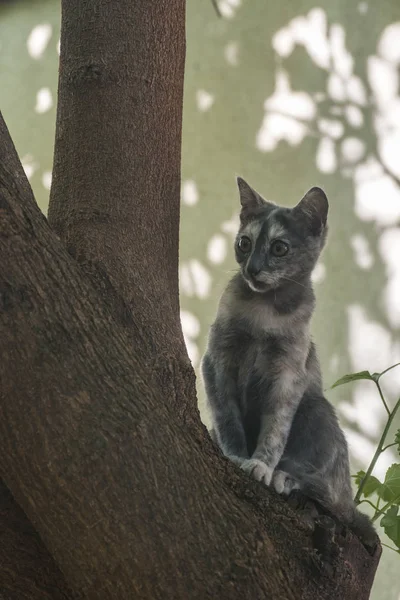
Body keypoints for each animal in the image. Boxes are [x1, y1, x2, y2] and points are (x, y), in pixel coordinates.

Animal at [203, 177, 376, 544]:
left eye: (279, 248)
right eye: (244, 243)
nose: (252, 268)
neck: (265, 311)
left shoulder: (288, 376)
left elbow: (275, 429)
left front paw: (262, 465)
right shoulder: (217, 361)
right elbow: (227, 416)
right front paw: (234, 453)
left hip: (317, 409)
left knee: (332, 496)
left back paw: (285, 478)